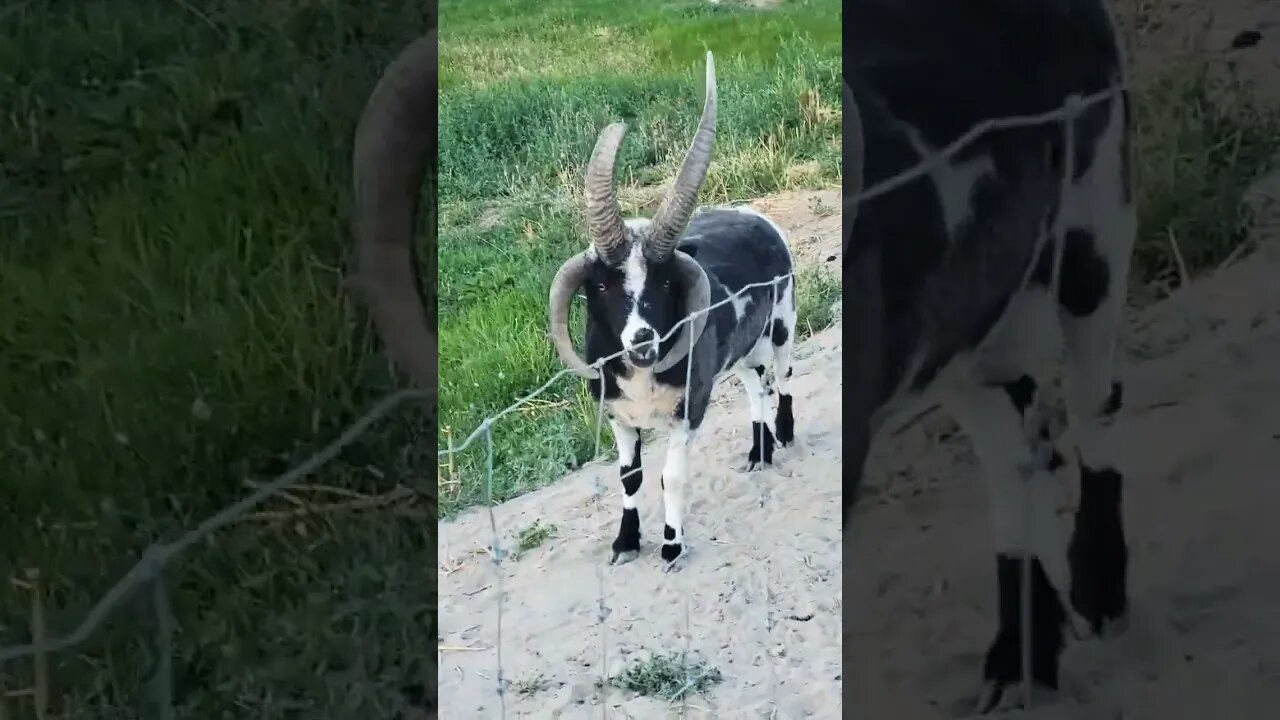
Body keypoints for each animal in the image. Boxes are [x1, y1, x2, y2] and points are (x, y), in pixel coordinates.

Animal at [545, 51, 793, 566]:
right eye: (601, 285)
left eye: (663, 281)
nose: (643, 340)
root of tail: (754, 215)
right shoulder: (619, 417)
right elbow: (630, 478)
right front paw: (625, 541)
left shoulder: (689, 409)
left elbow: (671, 477)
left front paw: (672, 545)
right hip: (741, 353)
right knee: (755, 387)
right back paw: (758, 453)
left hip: (783, 326)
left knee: (781, 381)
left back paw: (783, 434)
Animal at [849, 0, 1131, 707]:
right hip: (971, 336)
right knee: (1014, 462)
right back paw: (1021, 652)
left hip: (1096, 227)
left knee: (1092, 404)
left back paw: (1097, 587)